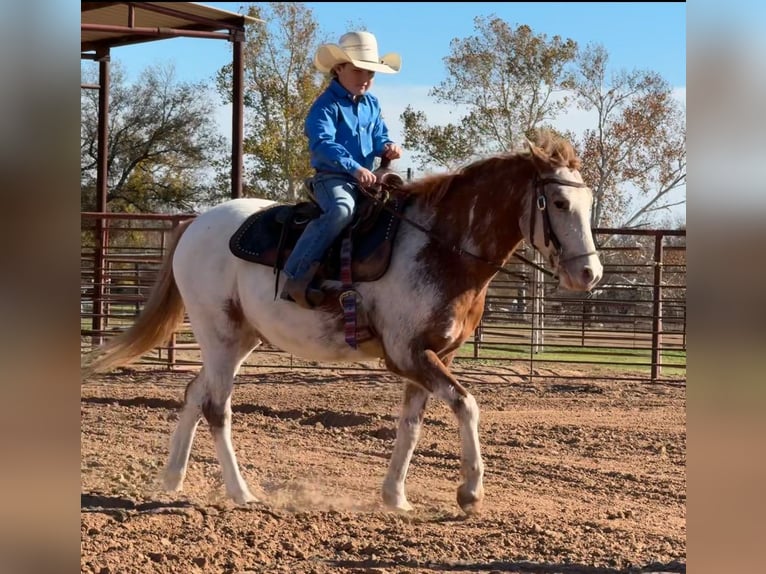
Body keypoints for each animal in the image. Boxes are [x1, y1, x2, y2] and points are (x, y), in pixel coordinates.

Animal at [82, 133, 600, 516]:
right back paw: (241, 493)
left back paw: (172, 479)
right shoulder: (409, 355)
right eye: (557, 202)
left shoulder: (433, 356)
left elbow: (410, 425)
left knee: (193, 393)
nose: (589, 274)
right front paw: (470, 493)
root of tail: (195, 223)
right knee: (215, 407)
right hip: (220, 335)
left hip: (239, 339)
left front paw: (395, 498)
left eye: (587, 201)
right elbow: (466, 405)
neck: (441, 247)